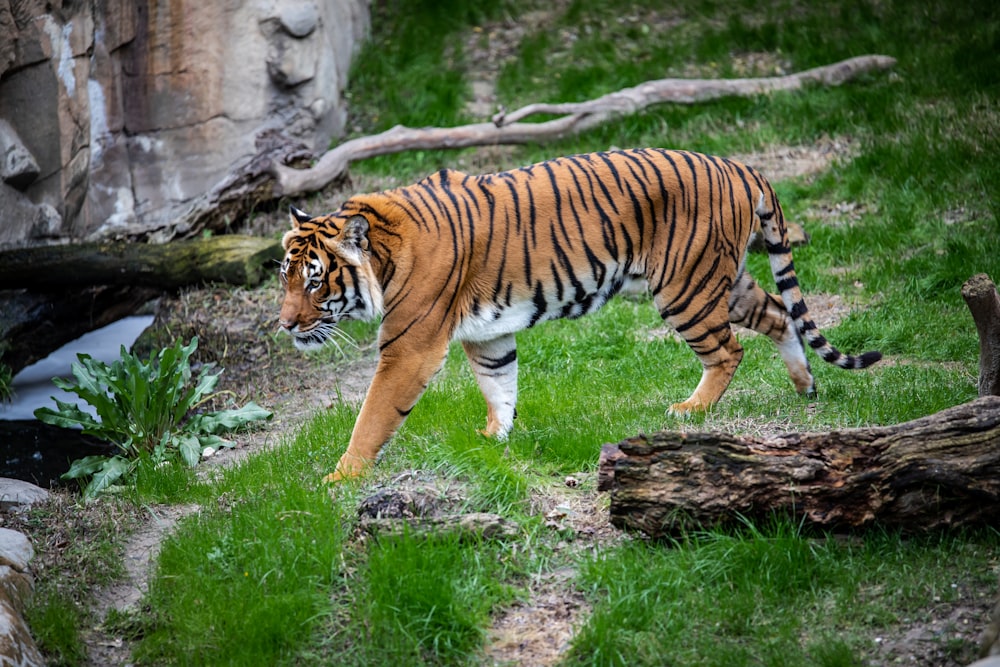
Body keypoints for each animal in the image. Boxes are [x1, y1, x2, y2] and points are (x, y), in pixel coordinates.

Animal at [278, 147, 880, 480]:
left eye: (314, 280)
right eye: (283, 275)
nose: (284, 324)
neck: (381, 254)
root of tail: (737, 165)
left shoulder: (410, 347)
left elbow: (373, 417)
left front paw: (340, 479)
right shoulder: (486, 336)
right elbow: (499, 385)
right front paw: (494, 439)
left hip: (683, 287)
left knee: (728, 349)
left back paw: (692, 409)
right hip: (723, 280)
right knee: (779, 312)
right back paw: (805, 387)